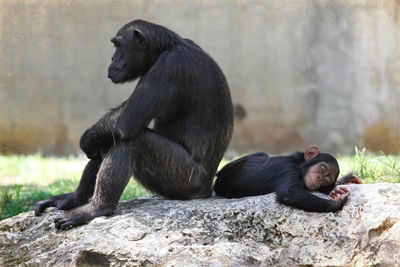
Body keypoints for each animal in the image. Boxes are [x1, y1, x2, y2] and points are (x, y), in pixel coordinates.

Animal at [35, 19, 234, 231]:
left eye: (118, 45)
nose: (112, 58)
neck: (166, 47)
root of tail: (207, 190)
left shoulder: (169, 67)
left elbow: (126, 121)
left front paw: (85, 140)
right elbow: (120, 119)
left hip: (183, 178)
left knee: (132, 142)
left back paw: (97, 208)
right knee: (108, 140)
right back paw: (74, 199)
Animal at [216, 147, 362, 214]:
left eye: (327, 179)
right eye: (322, 168)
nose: (320, 178)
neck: (299, 166)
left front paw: (347, 180)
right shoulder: (289, 170)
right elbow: (289, 193)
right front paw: (340, 201)